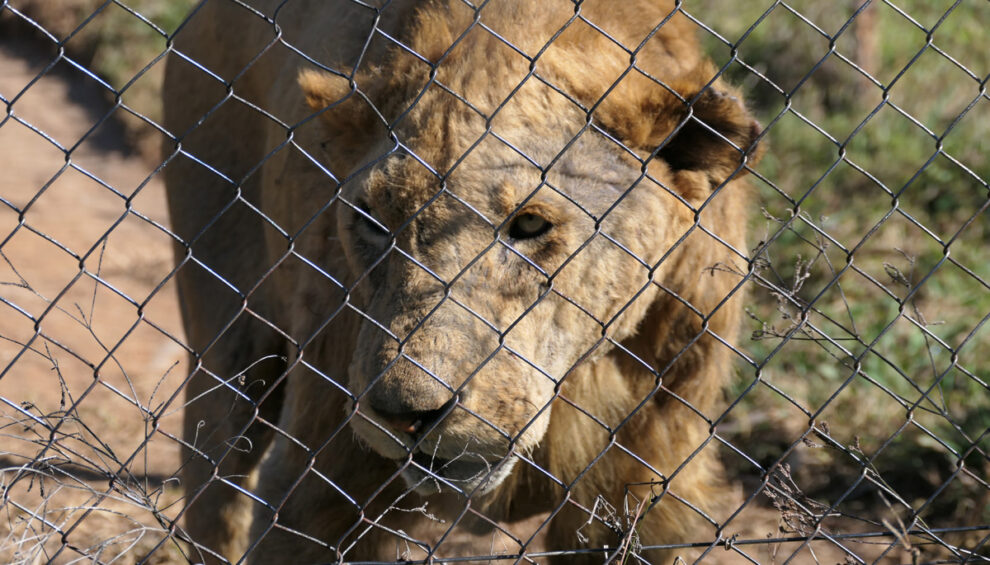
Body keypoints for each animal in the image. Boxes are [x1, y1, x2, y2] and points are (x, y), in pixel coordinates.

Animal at [165, 2, 760, 560]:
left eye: (530, 224)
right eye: (373, 221)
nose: (405, 415)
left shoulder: (639, 485)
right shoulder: (320, 483)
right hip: (231, 337)